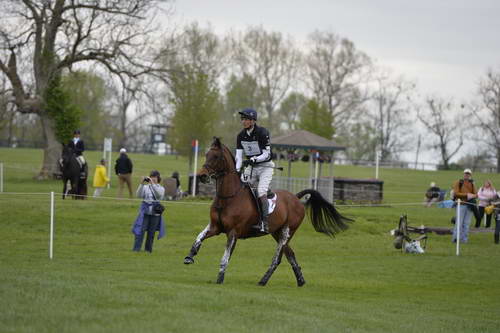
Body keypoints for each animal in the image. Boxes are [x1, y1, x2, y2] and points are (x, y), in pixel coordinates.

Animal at [185, 137, 356, 286]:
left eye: (216, 156)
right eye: (207, 154)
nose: (202, 176)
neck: (228, 197)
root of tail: (296, 197)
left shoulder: (233, 232)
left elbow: (225, 257)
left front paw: (220, 278)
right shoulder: (215, 227)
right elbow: (198, 238)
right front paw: (189, 256)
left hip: (287, 232)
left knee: (278, 258)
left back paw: (263, 280)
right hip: (277, 232)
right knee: (290, 254)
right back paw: (300, 281)